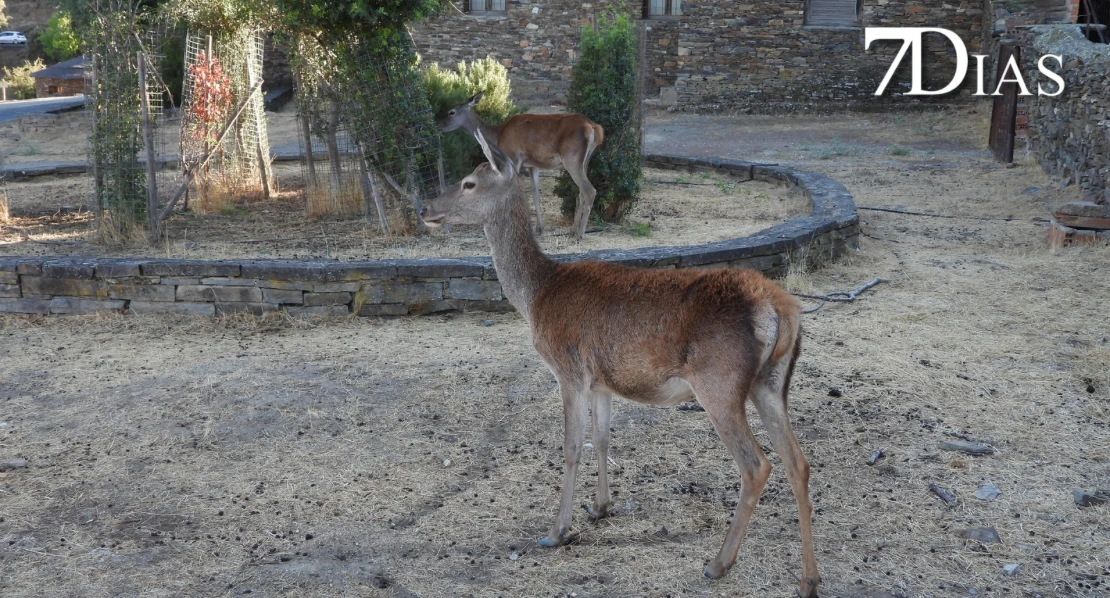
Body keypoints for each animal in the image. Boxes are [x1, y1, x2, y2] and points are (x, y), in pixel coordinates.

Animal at [420, 130, 820, 598]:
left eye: (469, 183)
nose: (424, 209)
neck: (536, 297)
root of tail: (781, 310)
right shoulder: (602, 382)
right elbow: (602, 439)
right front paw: (600, 507)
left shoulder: (569, 370)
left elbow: (572, 446)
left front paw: (556, 531)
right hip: (771, 383)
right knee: (798, 462)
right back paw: (809, 579)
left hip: (719, 383)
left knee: (758, 465)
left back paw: (718, 563)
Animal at [436, 92, 604, 240]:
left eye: (451, 112)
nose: (437, 125)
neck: (498, 135)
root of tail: (594, 128)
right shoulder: (532, 165)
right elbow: (535, 193)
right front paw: (539, 228)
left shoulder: (514, 157)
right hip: (585, 161)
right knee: (581, 193)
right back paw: (572, 230)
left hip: (572, 159)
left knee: (589, 190)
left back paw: (580, 234)